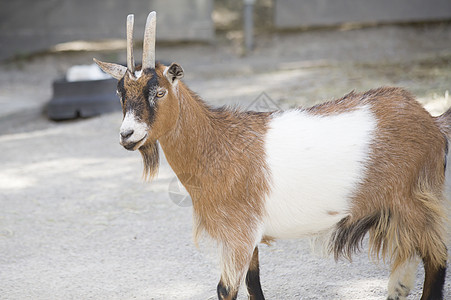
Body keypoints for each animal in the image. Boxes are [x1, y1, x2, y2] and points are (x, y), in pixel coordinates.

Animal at [93, 11, 450, 300]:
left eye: (159, 92)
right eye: (120, 93)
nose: (127, 135)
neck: (216, 143)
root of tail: (430, 121)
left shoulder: (238, 233)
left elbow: (226, 289)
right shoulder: (248, 236)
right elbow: (254, 284)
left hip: (412, 198)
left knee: (437, 257)